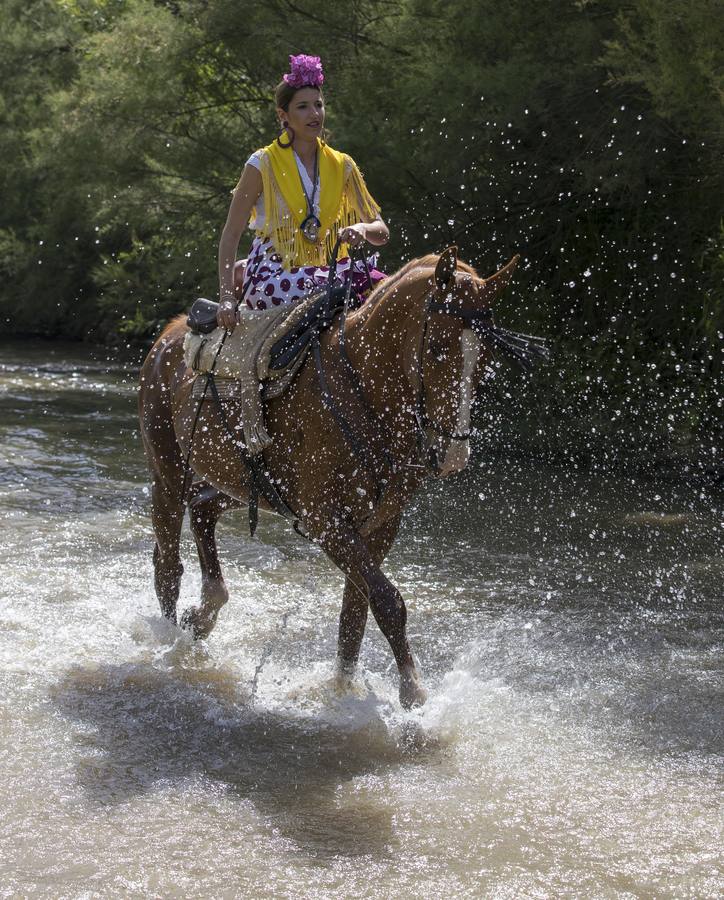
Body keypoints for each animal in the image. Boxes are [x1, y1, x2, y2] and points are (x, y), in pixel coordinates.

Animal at [140, 248, 536, 712]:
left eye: (485, 356)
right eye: (438, 349)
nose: (454, 456)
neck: (363, 390)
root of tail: (170, 333)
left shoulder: (379, 524)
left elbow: (356, 613)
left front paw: (344, 690)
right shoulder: (326, 522)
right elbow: (388, 600)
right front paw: (413, 691)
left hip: (244, 487)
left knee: (203, 510)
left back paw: (202, 615)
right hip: (167, 472)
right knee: (168, 562)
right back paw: (171, 640)